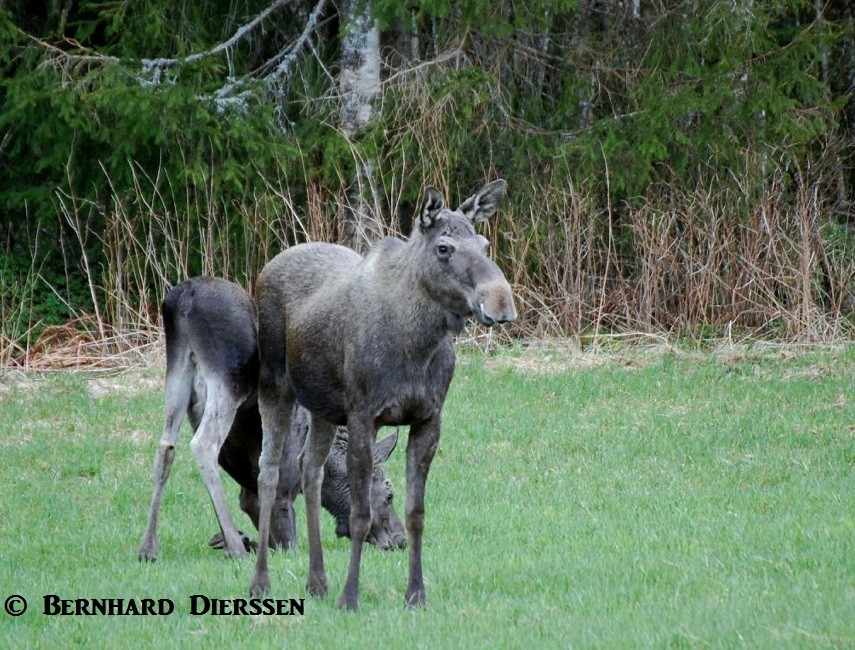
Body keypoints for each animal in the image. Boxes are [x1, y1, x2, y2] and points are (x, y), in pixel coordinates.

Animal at [139, 276, 406, 560]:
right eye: (389, 494)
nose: (401, 540)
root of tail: (184, 298)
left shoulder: (250, 490)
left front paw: (237, 539)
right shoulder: (284, 484)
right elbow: (290, 542)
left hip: (177, 373)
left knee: (166, 447)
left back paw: (150, 547)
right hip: (232, 377)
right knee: (204, 444)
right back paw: (234, 547)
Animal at [247, 181, 516, 608]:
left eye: (486, 244)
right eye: (444, 248)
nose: (501, 302)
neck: (417, 345)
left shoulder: (428, 418)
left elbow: (417, 513)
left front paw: (416, 595)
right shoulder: (363, 416)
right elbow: (360, 514)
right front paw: (350, 597)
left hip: (323, 408)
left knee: (311, 472)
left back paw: (317, 580)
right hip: (274, 385)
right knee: (269, 471)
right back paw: (262, 582)